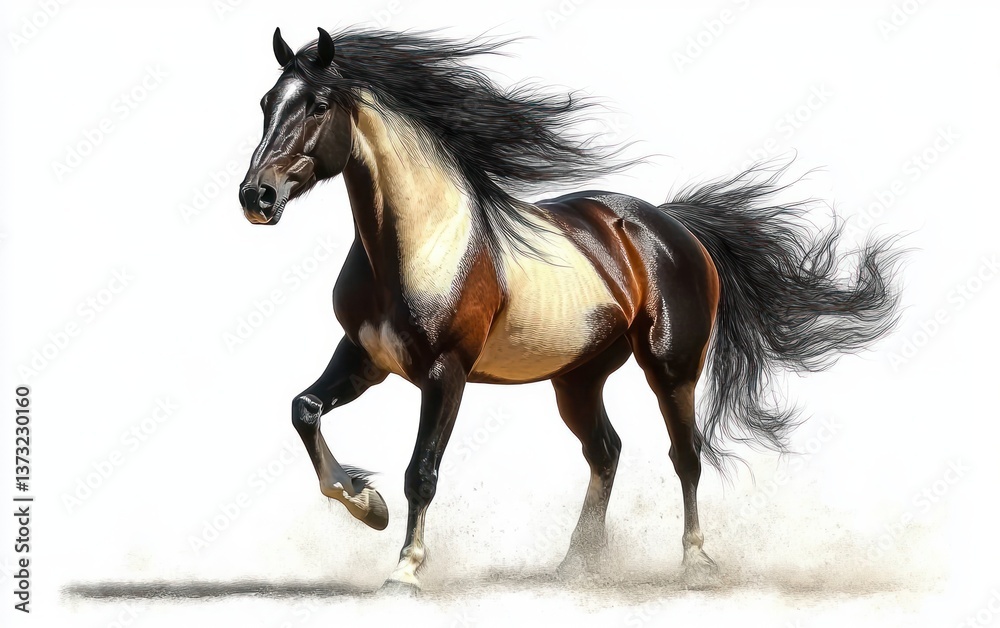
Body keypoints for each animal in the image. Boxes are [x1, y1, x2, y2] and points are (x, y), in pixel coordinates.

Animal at [238, 27, 901, 591]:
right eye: (268, 101)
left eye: (319, 104)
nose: (256, 196)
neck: (418, 243)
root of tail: (674, 228)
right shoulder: (364, 357)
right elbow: (303, 410)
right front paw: (364, 502)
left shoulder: (445, 372)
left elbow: (421, 470)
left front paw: (405, 570)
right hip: (577, 379)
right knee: (606, 451)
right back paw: (577, 565)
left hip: (671, 369)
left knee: (685, 456)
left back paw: (694, 563)